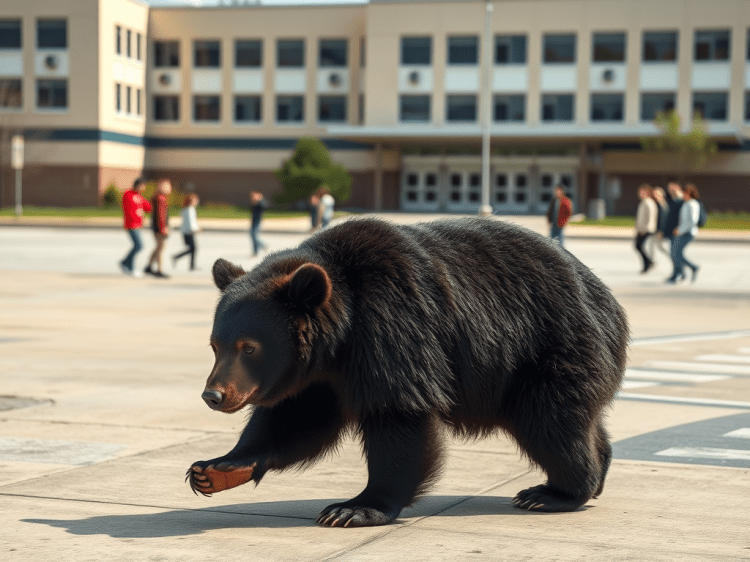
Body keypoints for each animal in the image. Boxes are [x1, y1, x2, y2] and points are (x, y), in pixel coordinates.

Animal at [186, 217, 628, 528]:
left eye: (249, 347)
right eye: (215, 345)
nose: (214, 395)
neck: (341, 334)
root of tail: (608, 299)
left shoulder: (394, 328)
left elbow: (398, 418)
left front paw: (354, 508)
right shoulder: (321, 376)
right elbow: (297, 418)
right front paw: (215, 469)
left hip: (549, 347)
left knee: (551, 422)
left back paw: (554, 492)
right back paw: (596, 472)